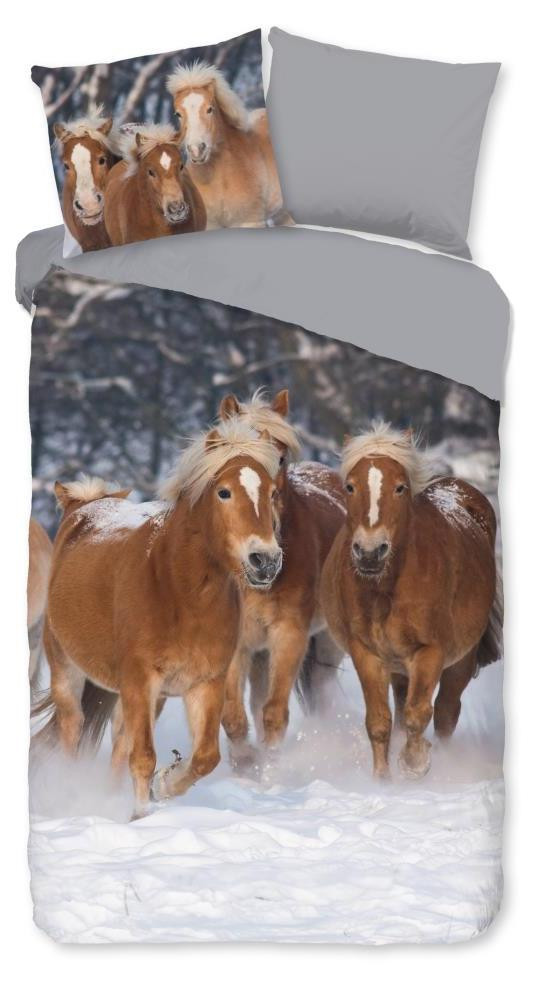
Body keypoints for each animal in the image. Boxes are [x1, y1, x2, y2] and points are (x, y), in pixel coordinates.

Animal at [34, 421, 282, 818]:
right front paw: (144, 810)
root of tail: (84, 506)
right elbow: (143, 757)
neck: (178, 592)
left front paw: (164, 786)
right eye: (224, 492)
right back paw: (69, 796)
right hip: (66, 671)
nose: (266, 561)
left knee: (120, 743)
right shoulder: (140, 680)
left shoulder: (204, 683)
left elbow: (204, 758)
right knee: (73, 730)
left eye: (273, 492)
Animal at [217, 390, 346, 765]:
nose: (265, 559)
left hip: (328, 643)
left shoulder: (289, 635)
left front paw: (271, 767)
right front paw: (246, 764)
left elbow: (274, 714)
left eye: (281, 457)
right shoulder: (239, 644)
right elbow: (234, 717)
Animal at [321, 422, 502, 781]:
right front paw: (383, 780)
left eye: (400, 488)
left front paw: (415, 763)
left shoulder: (430, 651)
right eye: (350, 486)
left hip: (461, 659)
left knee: (446, 712)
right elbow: (380, 722)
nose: (370, 552)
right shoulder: (367, 653)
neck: (387, 589)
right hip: (399, 667)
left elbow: (420, 714)